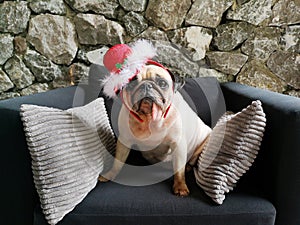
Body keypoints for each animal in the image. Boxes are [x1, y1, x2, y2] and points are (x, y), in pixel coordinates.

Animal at [98, 62, 211, 196]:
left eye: (162, 83)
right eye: (132, 84)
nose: (146, 85)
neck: (149, 119)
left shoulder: (178, 144)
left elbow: (179, 170)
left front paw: (180, 187)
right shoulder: (124, 141)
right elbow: (117, 162)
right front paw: (110, 175)